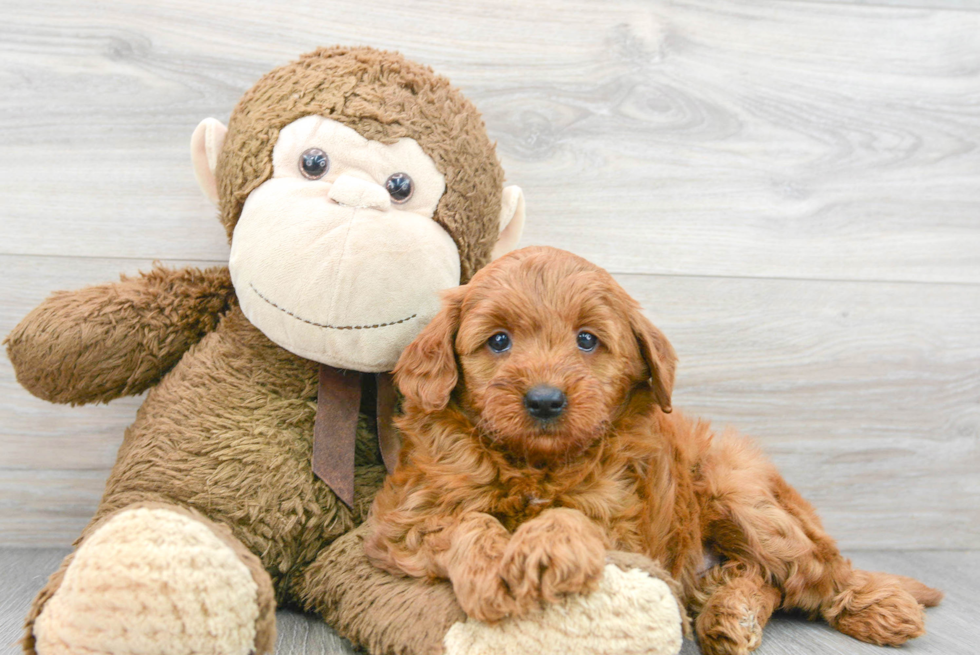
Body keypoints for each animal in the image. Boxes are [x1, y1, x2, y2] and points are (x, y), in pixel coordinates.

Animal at [368, 247, 940, 655]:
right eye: (499, 341)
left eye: (587, 340)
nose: (546, 400)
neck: (536, 464)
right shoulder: (408, 518)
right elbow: (469, 519)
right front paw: (491, 571)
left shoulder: (622, 526)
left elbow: (570, 519)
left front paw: (547, 547)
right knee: (765, 579)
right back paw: (729, 615)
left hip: (741, 494)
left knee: (818, 571)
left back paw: (880, 608)